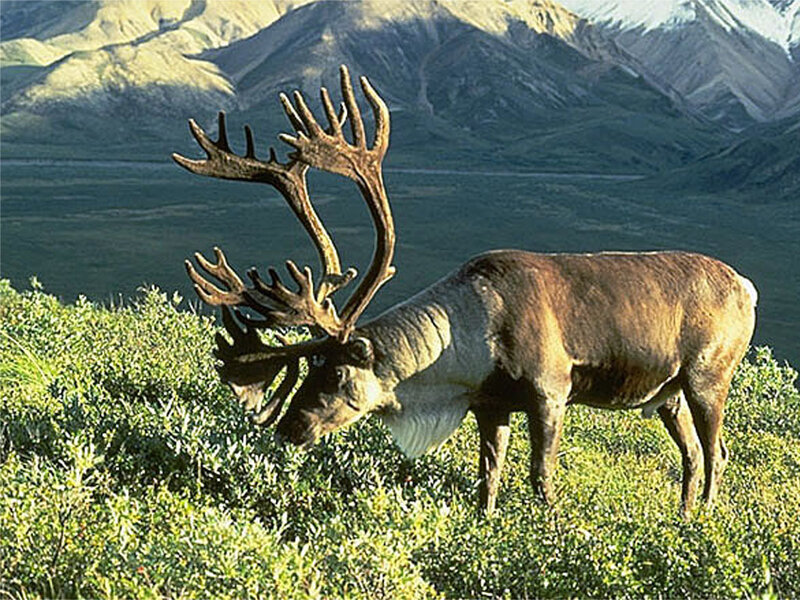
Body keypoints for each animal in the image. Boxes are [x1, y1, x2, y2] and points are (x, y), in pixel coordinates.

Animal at [173, 65, 757, 517]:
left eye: (336, 373)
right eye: (309, 368)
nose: (291, 427)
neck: (466, 342)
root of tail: (747, 286)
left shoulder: (551, 391)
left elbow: (541, 476)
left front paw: (550, 531)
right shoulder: (489, 405)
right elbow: (488, 477)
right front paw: (485, 525)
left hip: (707, 377)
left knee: (717, 453)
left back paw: (705, 521)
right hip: (667, 394)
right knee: (692, 455)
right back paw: (681, 519)